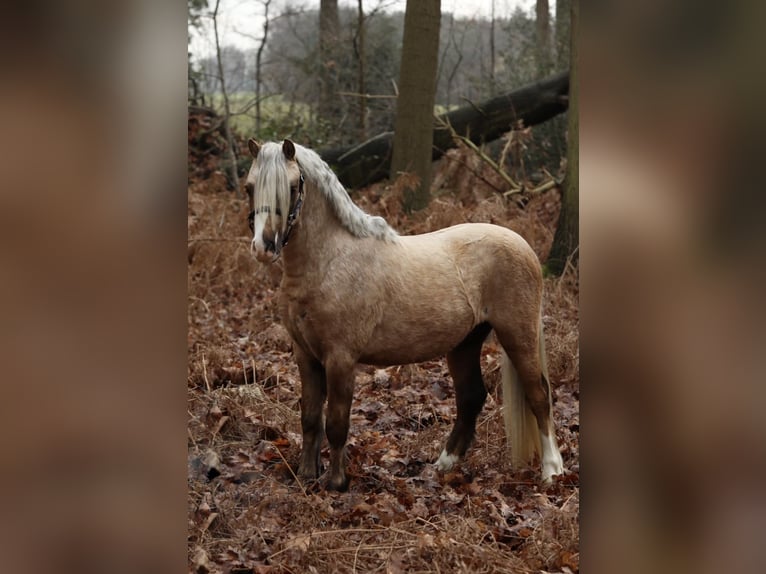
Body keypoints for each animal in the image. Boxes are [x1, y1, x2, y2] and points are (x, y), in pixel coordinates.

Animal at [245, 138, 564, 491]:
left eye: (290, 187)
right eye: (249, 187)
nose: (264, 247)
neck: (329, 260)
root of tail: (524, 247)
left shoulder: (340, 358)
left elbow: (337, 422)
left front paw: (336, 483)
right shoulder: (305, 355)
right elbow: (310, 417)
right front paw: (306, 476)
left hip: (518, 335)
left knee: (539, 395)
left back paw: (552, 470)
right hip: (465, 344)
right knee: (471, 397)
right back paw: (444, 465)